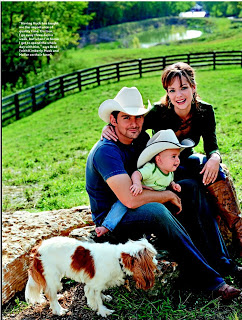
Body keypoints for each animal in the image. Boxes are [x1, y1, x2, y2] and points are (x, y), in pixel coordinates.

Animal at [24, 236, 157, 316]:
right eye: (153, 257)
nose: (157, 262)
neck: (118, 258)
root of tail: (37, 248)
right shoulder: (94, 284)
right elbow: (97, 298)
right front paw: (103, 311)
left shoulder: (97, 283)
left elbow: (98, 294)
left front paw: (104, 298)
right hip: (52, 275)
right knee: (50, 294)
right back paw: (59, 310)